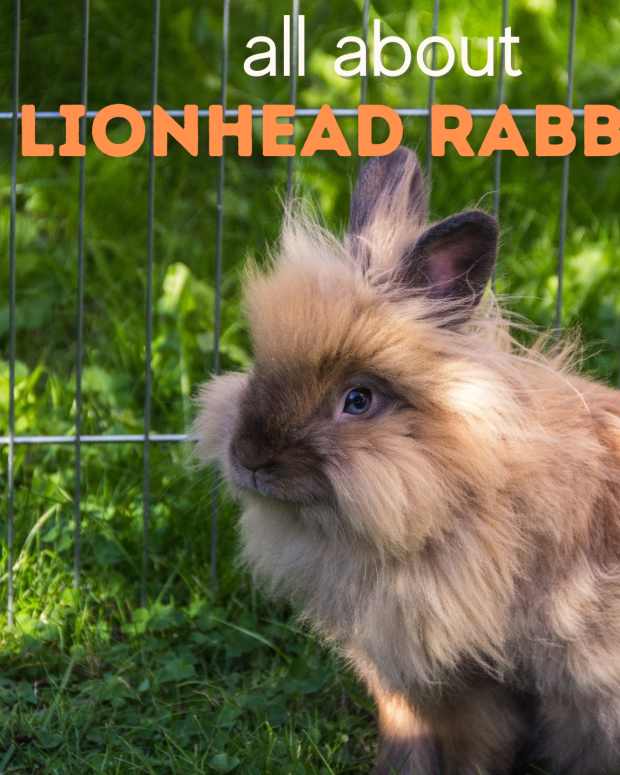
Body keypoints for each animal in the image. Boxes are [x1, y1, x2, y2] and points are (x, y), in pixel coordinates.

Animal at [194, 146, 620, 775]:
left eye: (358, 400)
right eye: (261, 365)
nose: (250, 458)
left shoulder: (468, 678)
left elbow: (477, 748)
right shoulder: (400, 680)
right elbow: (405, 732)